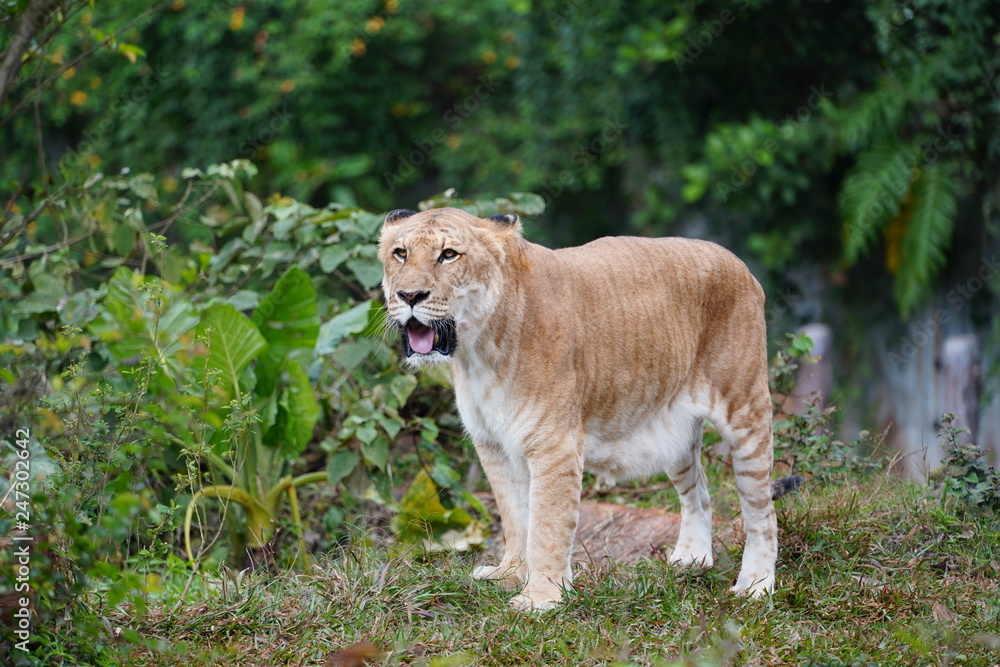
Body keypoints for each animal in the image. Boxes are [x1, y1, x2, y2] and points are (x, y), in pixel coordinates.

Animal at [378, 207, 777, 611]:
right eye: (400, 253)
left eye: (448, 255)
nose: (409, 295)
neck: (479, 354)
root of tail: (738, 263)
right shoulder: (493, 446)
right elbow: (514, 517)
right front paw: (510, 575)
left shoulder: (555, 444)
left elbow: (547, 525)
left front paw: (539, 598)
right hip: (676, 433)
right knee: (699, 491)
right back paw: (692, 559)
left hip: (746, 410)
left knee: (761, 509)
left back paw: (756, 585)